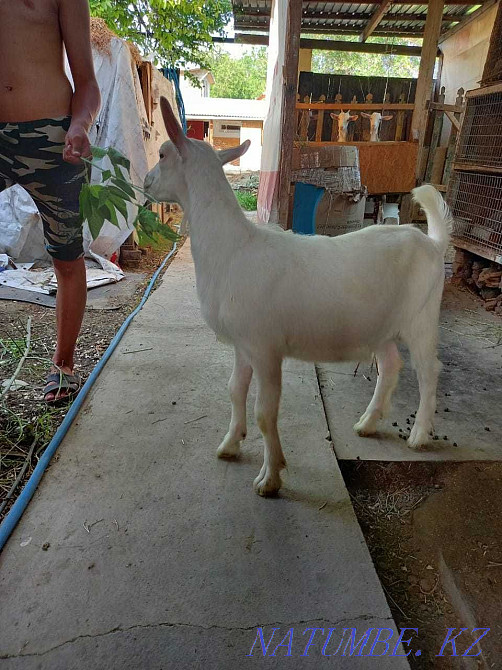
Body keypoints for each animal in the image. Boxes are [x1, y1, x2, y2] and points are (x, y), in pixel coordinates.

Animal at [145, 97, 452, 497]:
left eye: (163, 154)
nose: (145, 182)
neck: (232, 248)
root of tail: (432, 243)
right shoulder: (243, 344)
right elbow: (234, 391)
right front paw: (230, 444)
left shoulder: (265, 347)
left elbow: (265, 412)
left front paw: (270, 477)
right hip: (381, 325)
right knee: (390, 366)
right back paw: (368, 423)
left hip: (421, 317)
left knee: (429, 371)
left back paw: (418, 435)